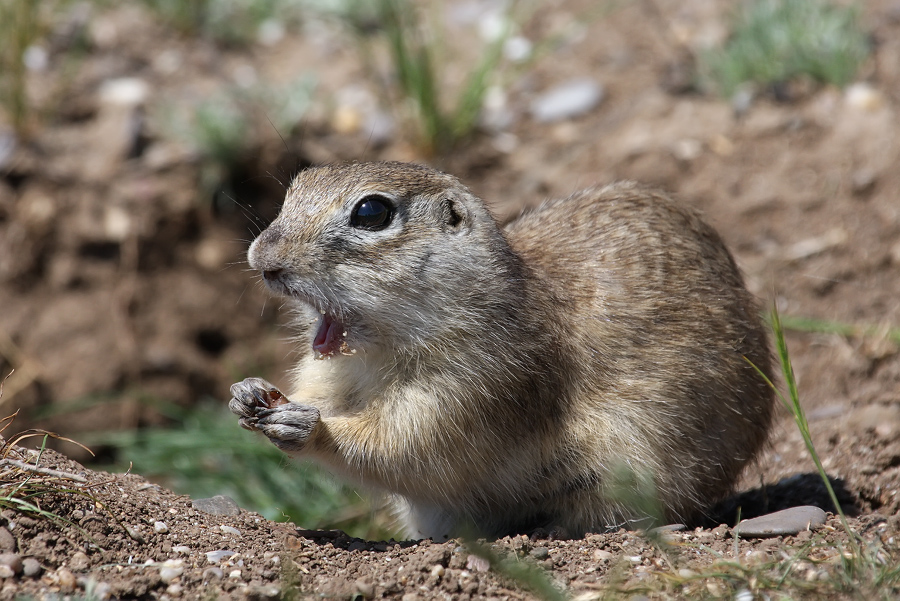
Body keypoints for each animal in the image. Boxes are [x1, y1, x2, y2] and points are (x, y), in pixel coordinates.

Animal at [230, 159, 772, 540]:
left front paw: (307, 427)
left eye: (371, 211)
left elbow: (403, 448)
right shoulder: (331, 373)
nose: (262, 259)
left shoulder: (474, 387)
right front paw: (248, 393)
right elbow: (319, 394)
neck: (377, 353)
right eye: (296, 186)